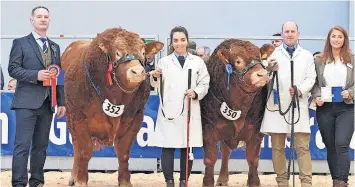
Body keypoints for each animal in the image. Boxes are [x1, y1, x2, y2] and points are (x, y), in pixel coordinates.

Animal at [61, 27, 164, 186]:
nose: (137, 72)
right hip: (69, 116)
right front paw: (81, 180)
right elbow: (84, 151)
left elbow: (123, 152)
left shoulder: (136, 118)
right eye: (118, 52)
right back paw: (73, 176)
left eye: (143, 52)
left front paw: (125, 181)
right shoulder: (79, 118)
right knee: (76, 147)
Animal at [202, 38, 274, 186]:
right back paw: (222, 179)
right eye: (238, 61)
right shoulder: (208, 129)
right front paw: (207, 182)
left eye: (260, 58)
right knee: (225, 152)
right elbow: (210, 158)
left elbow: (253, 158)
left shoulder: (256, 131)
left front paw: (254, 182)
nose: (262, 74)